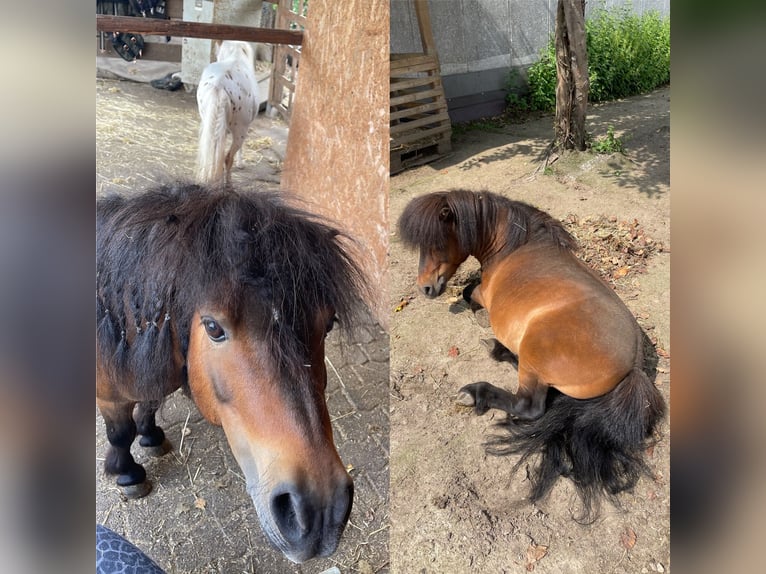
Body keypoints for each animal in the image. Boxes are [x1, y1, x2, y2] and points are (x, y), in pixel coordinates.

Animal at [97, 183, 368, 564]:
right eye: (212, 327)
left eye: (329, 323)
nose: (319, 511)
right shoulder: (109, 398)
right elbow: (121, 433)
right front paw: (128, 474)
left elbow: (149, 404)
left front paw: (151, 437)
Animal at [400, 191, 668, 524]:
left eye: (437, 243)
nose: (425, 288)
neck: (513, 245)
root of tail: (633, 369)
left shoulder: (482, 293)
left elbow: (468, 292)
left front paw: (478, 316)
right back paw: (498, 349)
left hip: (533, 354)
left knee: (527, 405)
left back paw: (476, 389)